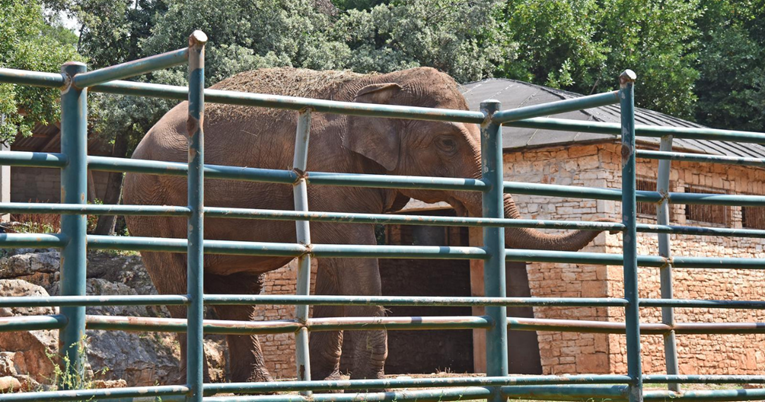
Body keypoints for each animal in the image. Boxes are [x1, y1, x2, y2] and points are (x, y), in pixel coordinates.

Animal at [125, 66, 612, 386]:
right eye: (447, 142)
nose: (604, 222)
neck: (377, 82)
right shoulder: (328, 170)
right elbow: (354, 253)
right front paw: (366, 381)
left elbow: (335, 260)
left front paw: (328, 380)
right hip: (153, 203)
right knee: (182, 284)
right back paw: (198, 385)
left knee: (239, 293)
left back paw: (253, 386)